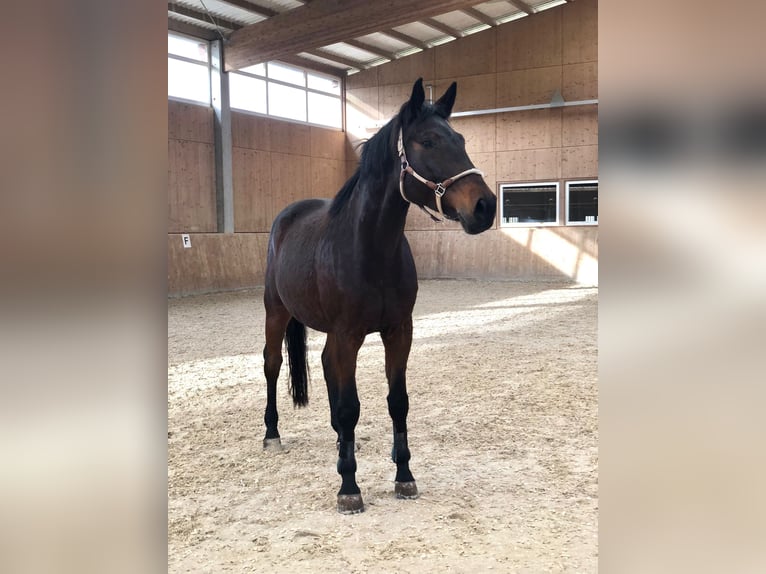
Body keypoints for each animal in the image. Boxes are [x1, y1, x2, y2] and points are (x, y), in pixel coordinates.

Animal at [260, 79, 496, 516]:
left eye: (461, 139)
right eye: (428, 141)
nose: (484, 207)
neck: (370, 248)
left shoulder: (398, 331)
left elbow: (397, 402)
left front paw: (403, 475)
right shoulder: (348, 335)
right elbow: (351, 406)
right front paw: (348, 486)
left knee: (324, 366)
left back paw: (338, 439)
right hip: (275, 311)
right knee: (272, 364)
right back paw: (272, 434)